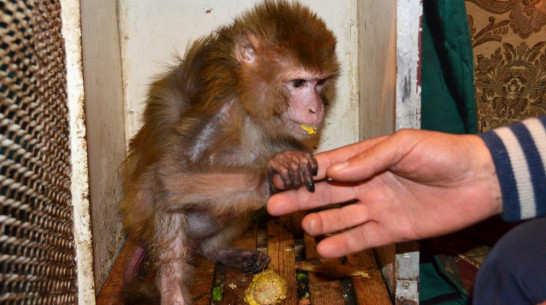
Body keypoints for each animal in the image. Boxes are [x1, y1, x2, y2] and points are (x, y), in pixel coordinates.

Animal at [119, 1, 338, 302]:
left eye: (320, 83)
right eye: (298, 83)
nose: (317, 109)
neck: (249, 107)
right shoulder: (220, 111)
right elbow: (173, 173)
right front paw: (270, 175)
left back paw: (217, 251)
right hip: (140, 216)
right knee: (163, 191)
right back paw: (173, 292)